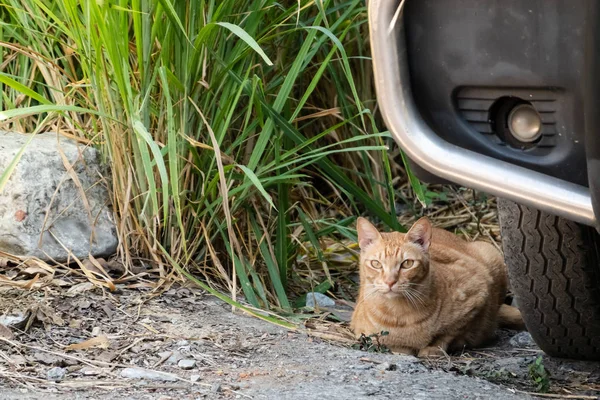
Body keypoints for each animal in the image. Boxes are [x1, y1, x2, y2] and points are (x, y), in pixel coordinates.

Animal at [350, 216, 524, 356]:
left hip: (492, 254)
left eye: (407, 263)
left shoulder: (479, 292)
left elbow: (449, 333)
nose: (390, 281)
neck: (398, 314)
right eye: (376, 264)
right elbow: (396, 347)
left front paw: (432, 348)